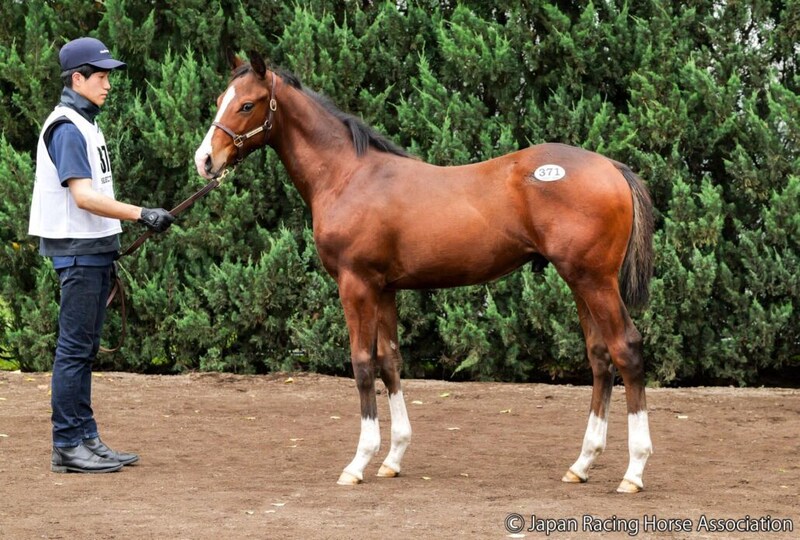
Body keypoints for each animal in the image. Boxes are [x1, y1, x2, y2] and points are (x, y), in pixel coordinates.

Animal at [193, 51, 655, 493]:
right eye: (219, 100)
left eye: (247, 104)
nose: (205, 161)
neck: (348, 176)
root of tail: (612, 167)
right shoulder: (384, 289)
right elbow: (390, 361)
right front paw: (392, 458)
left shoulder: (355, 285)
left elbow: (363, 364)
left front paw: (358, 463)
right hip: (578, 281)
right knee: (600, 358)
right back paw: (582, 464)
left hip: (594, 280)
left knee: (626, 349)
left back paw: (633, 471)